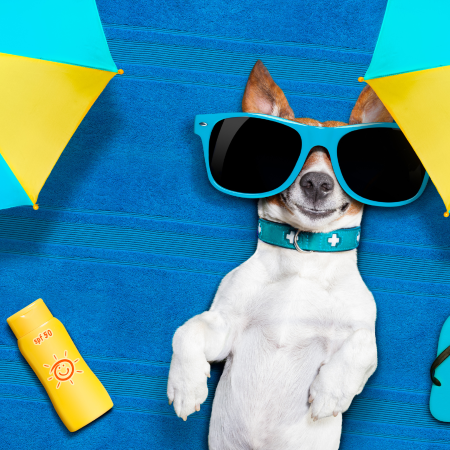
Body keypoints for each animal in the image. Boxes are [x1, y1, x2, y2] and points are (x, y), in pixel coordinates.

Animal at [167, 60, 392, 450]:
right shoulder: (225, 328)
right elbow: (186, 331)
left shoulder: (363, 331)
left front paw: (330, 392)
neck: (304, 260)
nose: (316, 183)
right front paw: (186, 386)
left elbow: (365, 345)